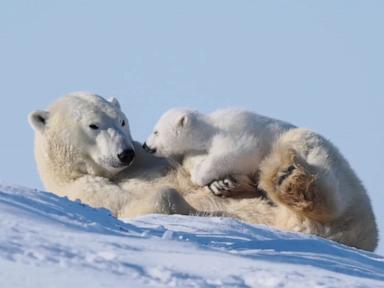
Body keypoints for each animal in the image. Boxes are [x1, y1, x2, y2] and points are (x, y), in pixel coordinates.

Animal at [27, 91, 378, 250]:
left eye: (122, 121)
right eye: (94, 125)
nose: (126, 152)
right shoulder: (83, 190)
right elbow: (127, 205)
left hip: (336, 176)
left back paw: (286, 178)